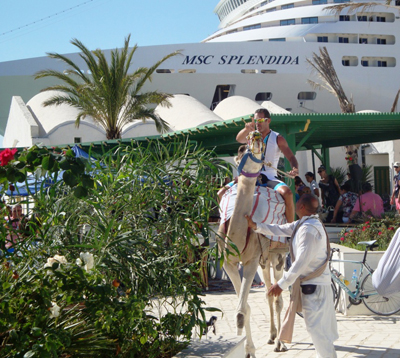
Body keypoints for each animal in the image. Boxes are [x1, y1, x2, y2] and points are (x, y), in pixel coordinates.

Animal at [219, 131, 288, 358]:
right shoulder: (229, 264)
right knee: (268, 292)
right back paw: (272, 336)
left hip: (278, 256)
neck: (238, 237)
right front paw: (249, 350)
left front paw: (250, 348)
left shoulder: (249, 262)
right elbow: (246, 307)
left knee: (278, 296)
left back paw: (280, 343)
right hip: (263, 262)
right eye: (241, 148)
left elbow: (241, 311)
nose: (256, 136)